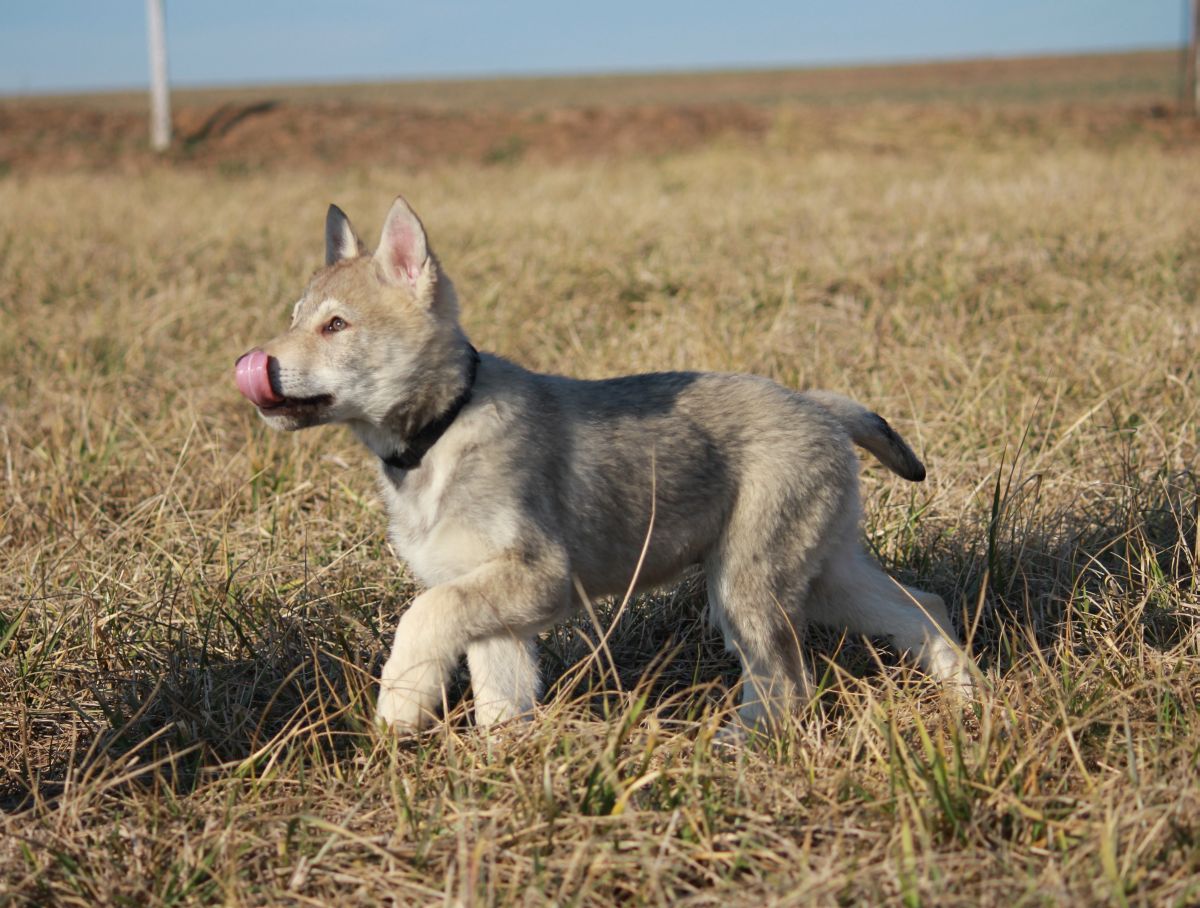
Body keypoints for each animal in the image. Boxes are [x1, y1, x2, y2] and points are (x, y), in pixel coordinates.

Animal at [234, 194, 974, 734]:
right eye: (295, 318)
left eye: (335, 326)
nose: (252, 364)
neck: (438, 434)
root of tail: (816, 403)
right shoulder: (493, 605)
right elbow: (501, 699)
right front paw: (502, 772)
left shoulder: (538, 576)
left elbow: (422, 616)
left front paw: (400, 704)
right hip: (820, 575)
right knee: (925, 608)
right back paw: (969, 697)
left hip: (748, 588)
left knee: (787, 686)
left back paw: (737, 747)